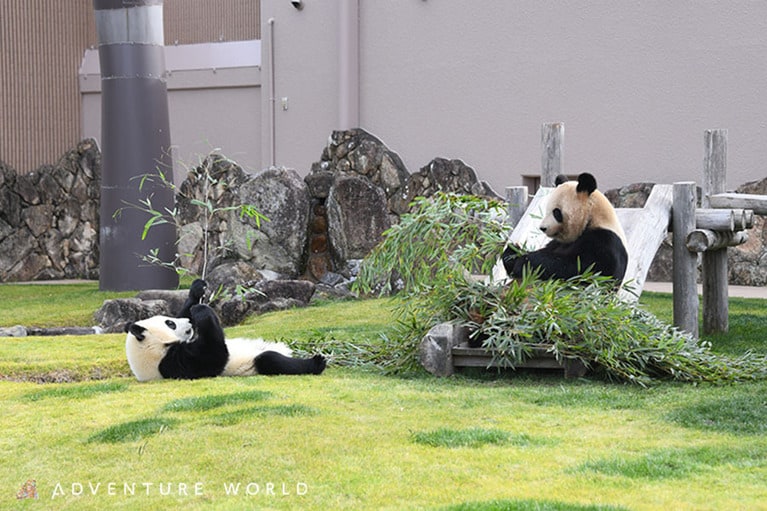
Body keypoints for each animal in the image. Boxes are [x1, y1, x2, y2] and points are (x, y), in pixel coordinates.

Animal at [124, 278, 328, 382]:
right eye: (170, 324)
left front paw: (197, 291)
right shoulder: (175, 363)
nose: (189, 323)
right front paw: (201, 311)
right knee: (271, 360)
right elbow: (214, 355)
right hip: (254, 364)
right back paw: (316, 362)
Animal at [504, 172, 632, 284]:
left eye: (556, 212)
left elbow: (587, 269)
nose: (542, 228)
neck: (592, 219)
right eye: (546, 210)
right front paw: (513, 251)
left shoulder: (605, 240)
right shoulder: (556, 243)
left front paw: (526, 262)